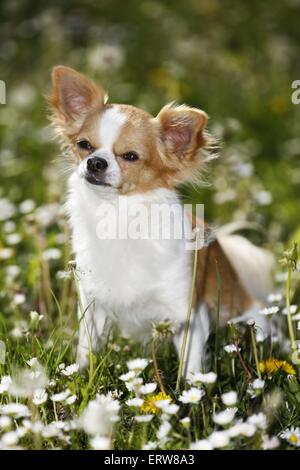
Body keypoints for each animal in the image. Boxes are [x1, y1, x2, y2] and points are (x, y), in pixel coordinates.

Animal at [49, 66, 274, 376]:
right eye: (84, 145)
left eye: (130, 156)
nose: (95, 162)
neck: (117, 214)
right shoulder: (93, 306)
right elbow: (87, 349)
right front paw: (82, 375)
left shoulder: (188, 315)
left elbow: (191, 370)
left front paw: (191, 390)